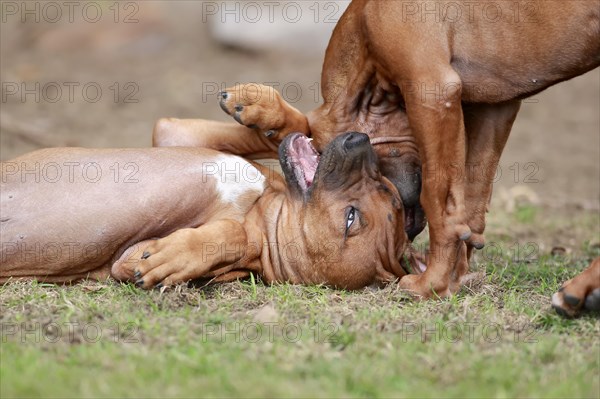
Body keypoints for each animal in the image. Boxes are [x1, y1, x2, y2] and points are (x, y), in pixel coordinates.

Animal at [0, 133, 414, 290]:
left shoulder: (127, 257)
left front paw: (176, 257)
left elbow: (231, 236)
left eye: (351, 218)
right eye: (385, 186)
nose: (360, 139)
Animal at [156, 0, 600, 310]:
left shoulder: (432, 90)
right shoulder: (498, 106)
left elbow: (439, 200)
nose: (408, 228)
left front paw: (433, 283)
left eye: (386, 195)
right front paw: (456, 275)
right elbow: (469, 205)